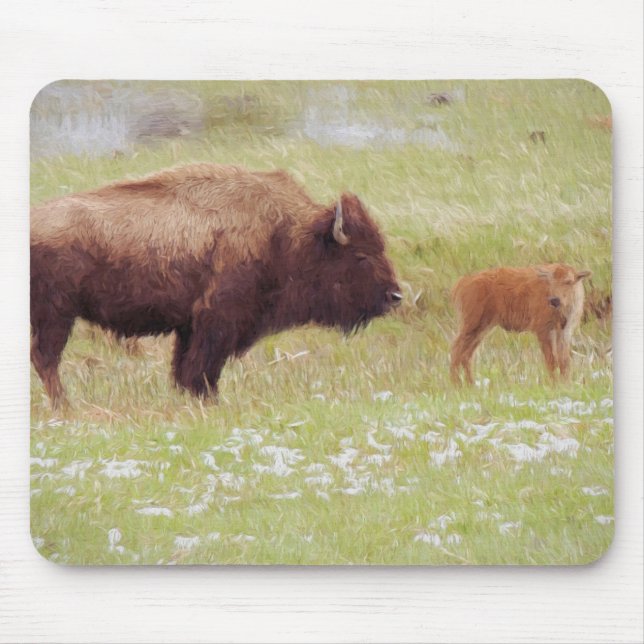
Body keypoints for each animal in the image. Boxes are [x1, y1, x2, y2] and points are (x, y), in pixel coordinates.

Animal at [31, 163, 402, 408]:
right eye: (361, 255)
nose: (395, 295)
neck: (288, 234)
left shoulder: (190, 327)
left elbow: (185, 369)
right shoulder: (217, 321)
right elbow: (202, 369)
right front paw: (209, 403)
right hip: (56, 314)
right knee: (46, 359)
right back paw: (65, 406)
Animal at [450, 264, 591, 384]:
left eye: (568, 281)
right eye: (550, 282)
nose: (554, 300)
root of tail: (462, 282)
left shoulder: (564, 331)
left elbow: (564, 361)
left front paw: (565, 384)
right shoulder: (544, 330)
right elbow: (551, 360)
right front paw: (554, 384)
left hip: (482, 328)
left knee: (466, 354)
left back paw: (471, 384)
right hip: (471, 325)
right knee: (457, 349)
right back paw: (457, 385)